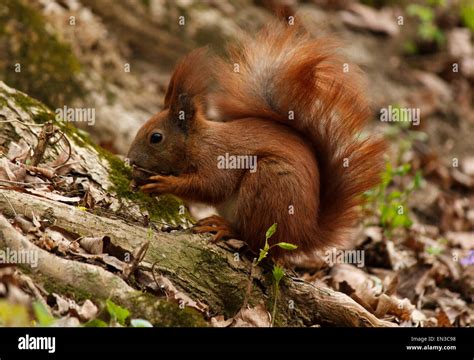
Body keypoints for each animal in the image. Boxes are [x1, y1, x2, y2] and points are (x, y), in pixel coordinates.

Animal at [126, 21, 386, 258]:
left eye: (156, 137)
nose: (130, 159)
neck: (197, 142)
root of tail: (304, 235)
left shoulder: (217, 159)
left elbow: (211, 187)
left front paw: (164, 184)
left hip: (269, 182)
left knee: (256, 239)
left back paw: (225, 227)